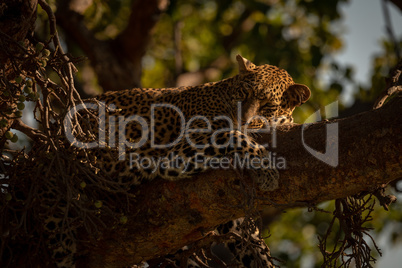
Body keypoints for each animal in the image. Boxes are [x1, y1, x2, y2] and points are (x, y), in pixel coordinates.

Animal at [47, 54, 310, 266]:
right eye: (243, 95)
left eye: (267, 106)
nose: (242, 120)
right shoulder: (181, 149)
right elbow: (232, 135)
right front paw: (267, 170)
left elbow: (253, 244)